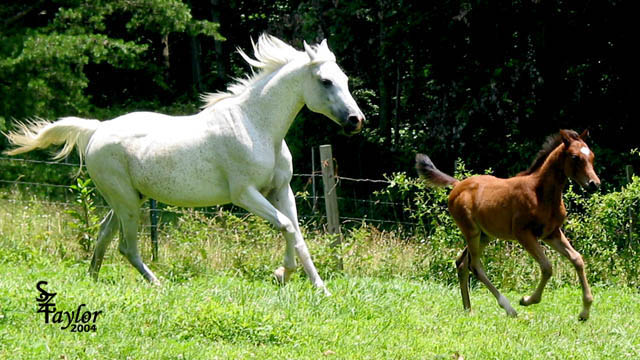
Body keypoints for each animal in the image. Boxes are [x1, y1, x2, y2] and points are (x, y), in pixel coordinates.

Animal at [3, 33, 364, 294]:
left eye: (344, 78)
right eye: (326, 81)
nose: (356, 120)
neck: (256, 125)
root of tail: (97, 130)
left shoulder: (280, 190)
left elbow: (297, 235)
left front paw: (320, 289)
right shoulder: (245, 194)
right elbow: (287, 227)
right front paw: (281, 274)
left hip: (129, 199)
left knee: (105, 236)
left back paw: (93, 280)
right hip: (126, 202)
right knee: (126, 247)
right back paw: (157, 285)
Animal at [416, 129, 600, 320]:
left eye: (592, 156)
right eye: (574, 157)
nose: (594, 184)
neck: (541, 194)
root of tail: (458, 185)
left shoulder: (552, 233)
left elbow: (577, 259)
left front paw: (585, 311)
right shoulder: (524, 234)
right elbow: (547, 267)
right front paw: (527, 300)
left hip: (485, 235)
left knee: (462, 263)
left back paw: (468, 309)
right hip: (471, 231)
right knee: (474, 265)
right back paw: (509, 308)